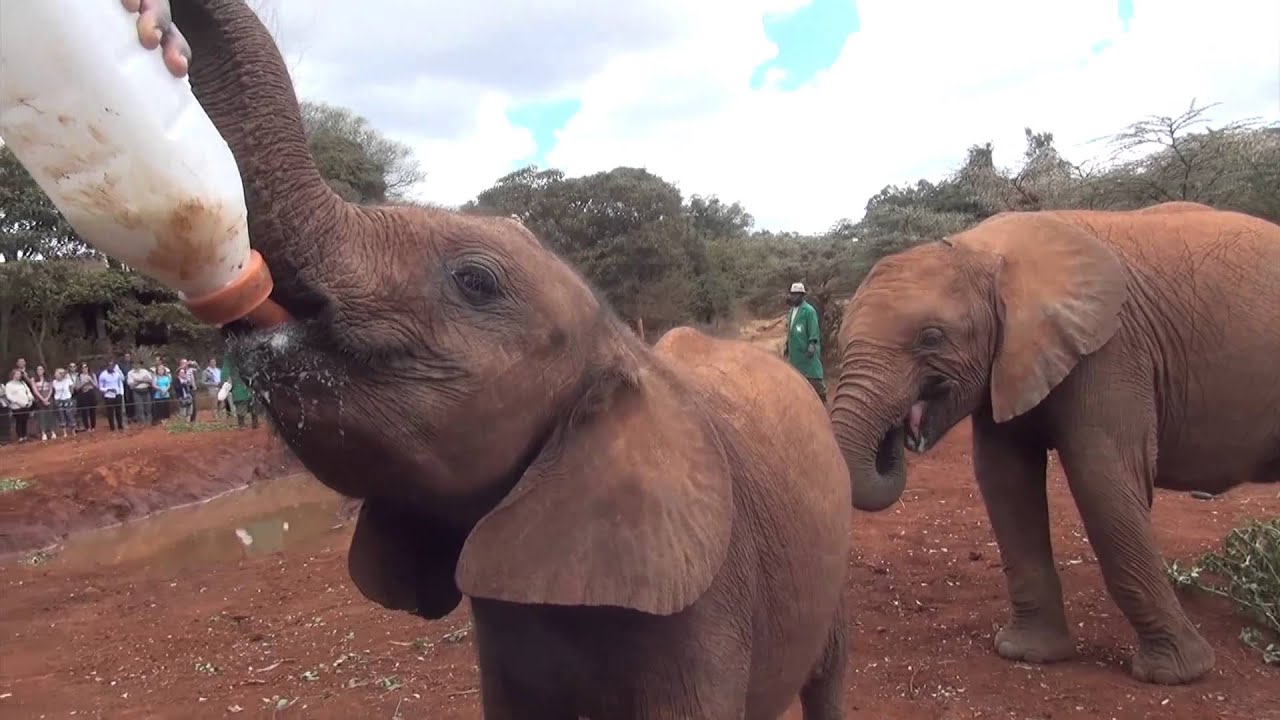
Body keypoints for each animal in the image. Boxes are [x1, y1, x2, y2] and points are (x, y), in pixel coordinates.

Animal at [828, 201, 1280, 685]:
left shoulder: (1111, 349)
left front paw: (1175, 674)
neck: (982, 254)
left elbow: (1103, 482)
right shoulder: (1010, 360)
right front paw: (1027, 654)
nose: (902, 432)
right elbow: (1006, 482)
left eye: (931, 337)